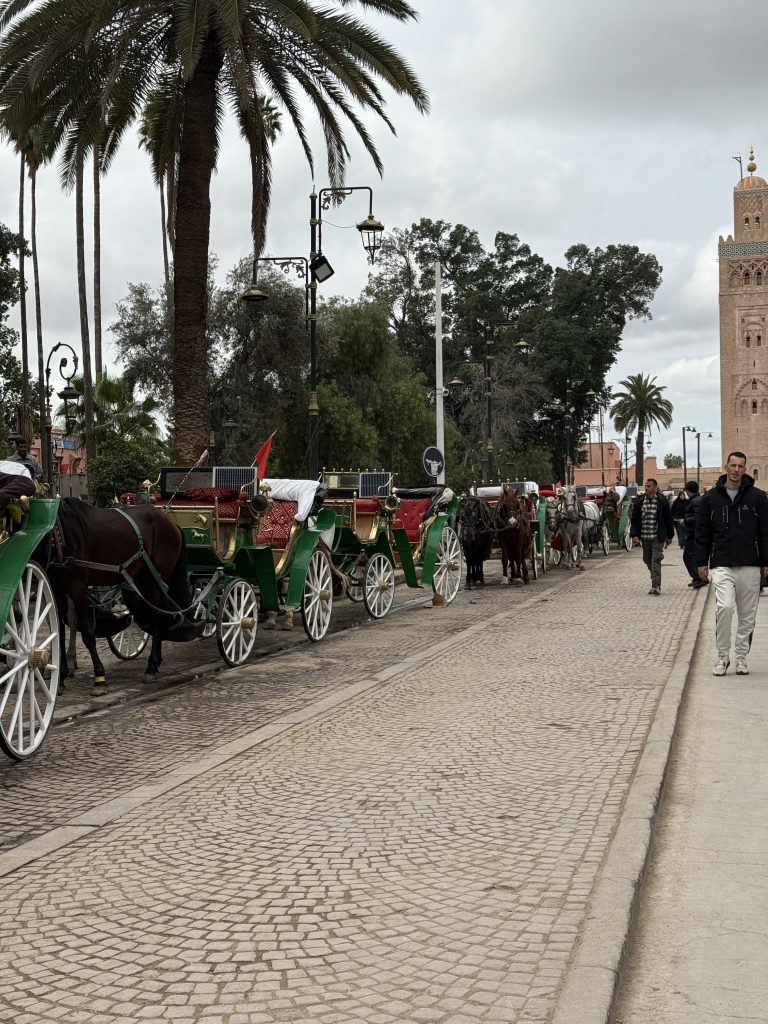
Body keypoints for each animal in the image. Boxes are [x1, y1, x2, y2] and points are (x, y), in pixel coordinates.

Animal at [45, 499, 192, 694]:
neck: (61, 534)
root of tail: (171, 523)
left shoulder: (78, 588)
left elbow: (88, 634)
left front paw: (99, 678)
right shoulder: (56, 589)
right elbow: (58, 634)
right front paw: (60, 679)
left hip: (156, 580)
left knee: (159, 616)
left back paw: (151, 667)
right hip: (143, 578)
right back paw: (155, 663)